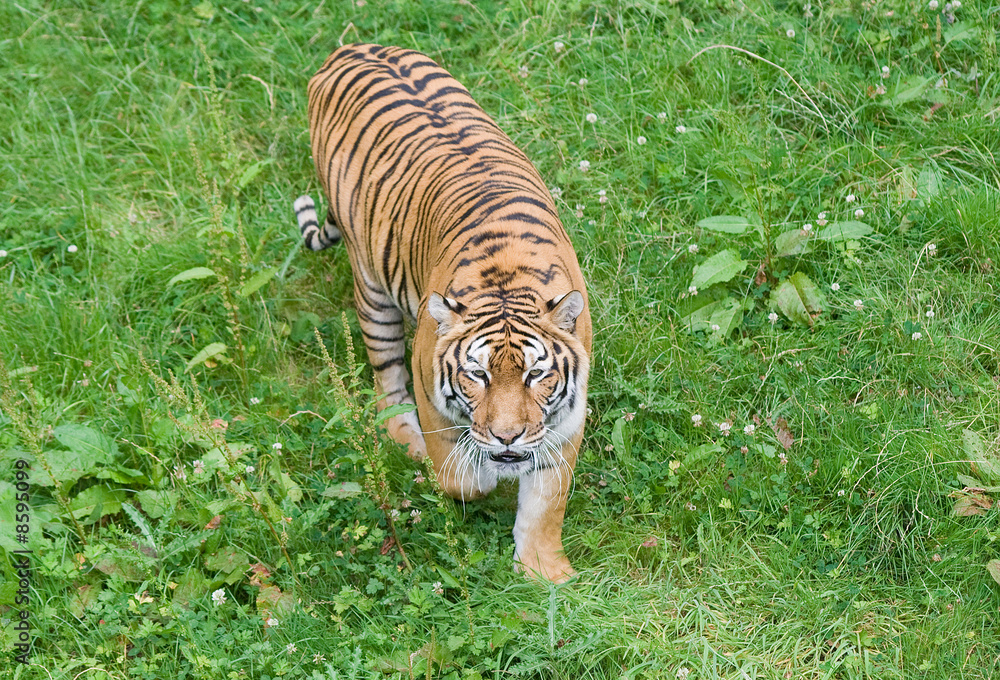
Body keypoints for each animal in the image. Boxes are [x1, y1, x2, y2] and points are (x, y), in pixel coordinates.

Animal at [295, 43, 592, 583]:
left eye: (536, 375)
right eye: (477, 375)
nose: (507, 436)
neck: (507, 281)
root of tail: (348, 49)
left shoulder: (564, 423)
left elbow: (546, 502)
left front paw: (544, 571)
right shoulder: (431, 393)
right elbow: (460, 477)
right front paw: (479, 477)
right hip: (371, 287)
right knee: (386, 383)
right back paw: (405, 439)